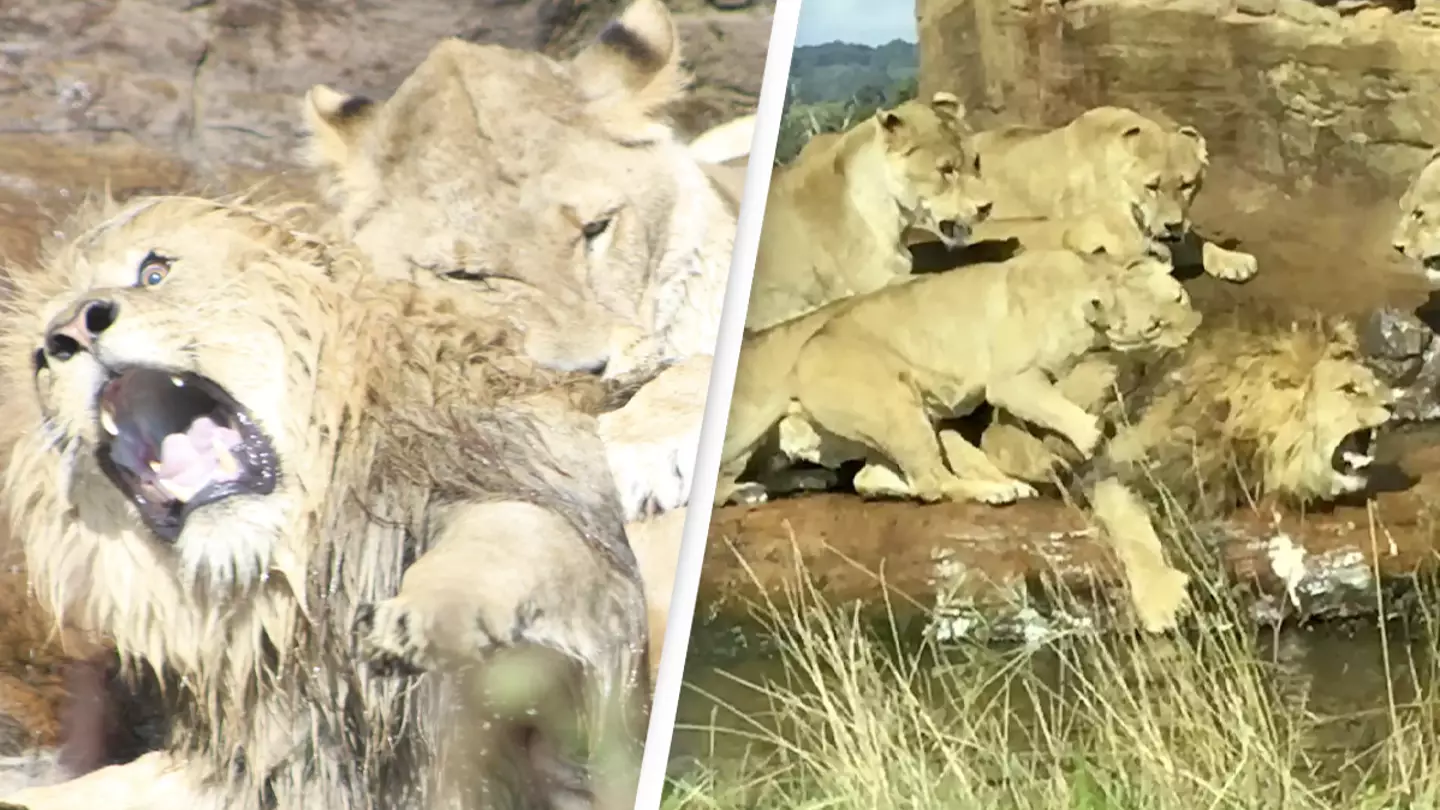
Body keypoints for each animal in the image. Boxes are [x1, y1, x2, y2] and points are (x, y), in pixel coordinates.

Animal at [717, 249, 1203, 507]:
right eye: (1154, 326)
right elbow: (1057, 410)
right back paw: (997, 492)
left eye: (1180, 295)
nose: (1196, 326)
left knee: (881, 479)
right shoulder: (1009, 382)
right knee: (932, 482)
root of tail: (806, 350)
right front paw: (1090, 438)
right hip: (895, 408)